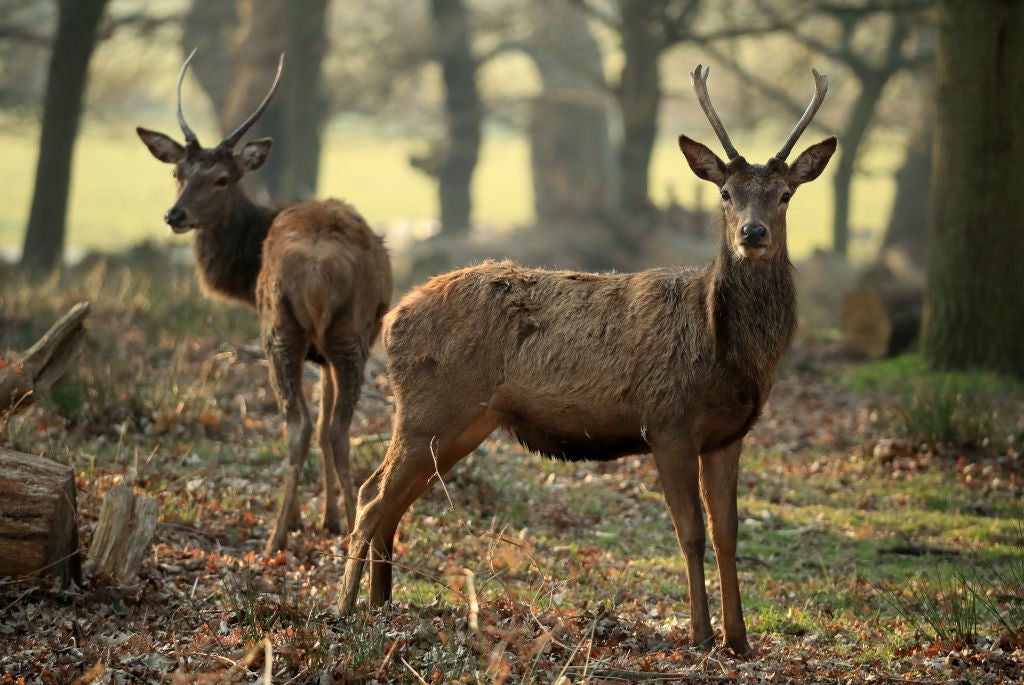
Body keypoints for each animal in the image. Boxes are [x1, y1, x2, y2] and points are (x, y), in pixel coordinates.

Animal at [136, 50, 391, 552]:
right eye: (177, 172)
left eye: (221, 178)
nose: (175, 215)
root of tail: (315, 273)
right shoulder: (325, 353)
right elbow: (325, 417)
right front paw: (328, 517)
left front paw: (320, 517)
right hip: (336, 336)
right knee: (325, 427)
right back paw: (306, 530)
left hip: (291, 332)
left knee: (309, 425)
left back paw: (284, 534)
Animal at [339, 65, 835, 655]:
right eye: (726, 193)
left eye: (784, 195)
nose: (751, 234)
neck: (724, 353)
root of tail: (393, 318)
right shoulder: (667, 422)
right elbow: (690, 533)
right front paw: (699, 635)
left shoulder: (728, 435)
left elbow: (728, 533)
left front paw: (739, 640)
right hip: (428, 410)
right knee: (371, 496)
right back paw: (342, 609)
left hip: (463, 421)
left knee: (395, 502)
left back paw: (381, 606)